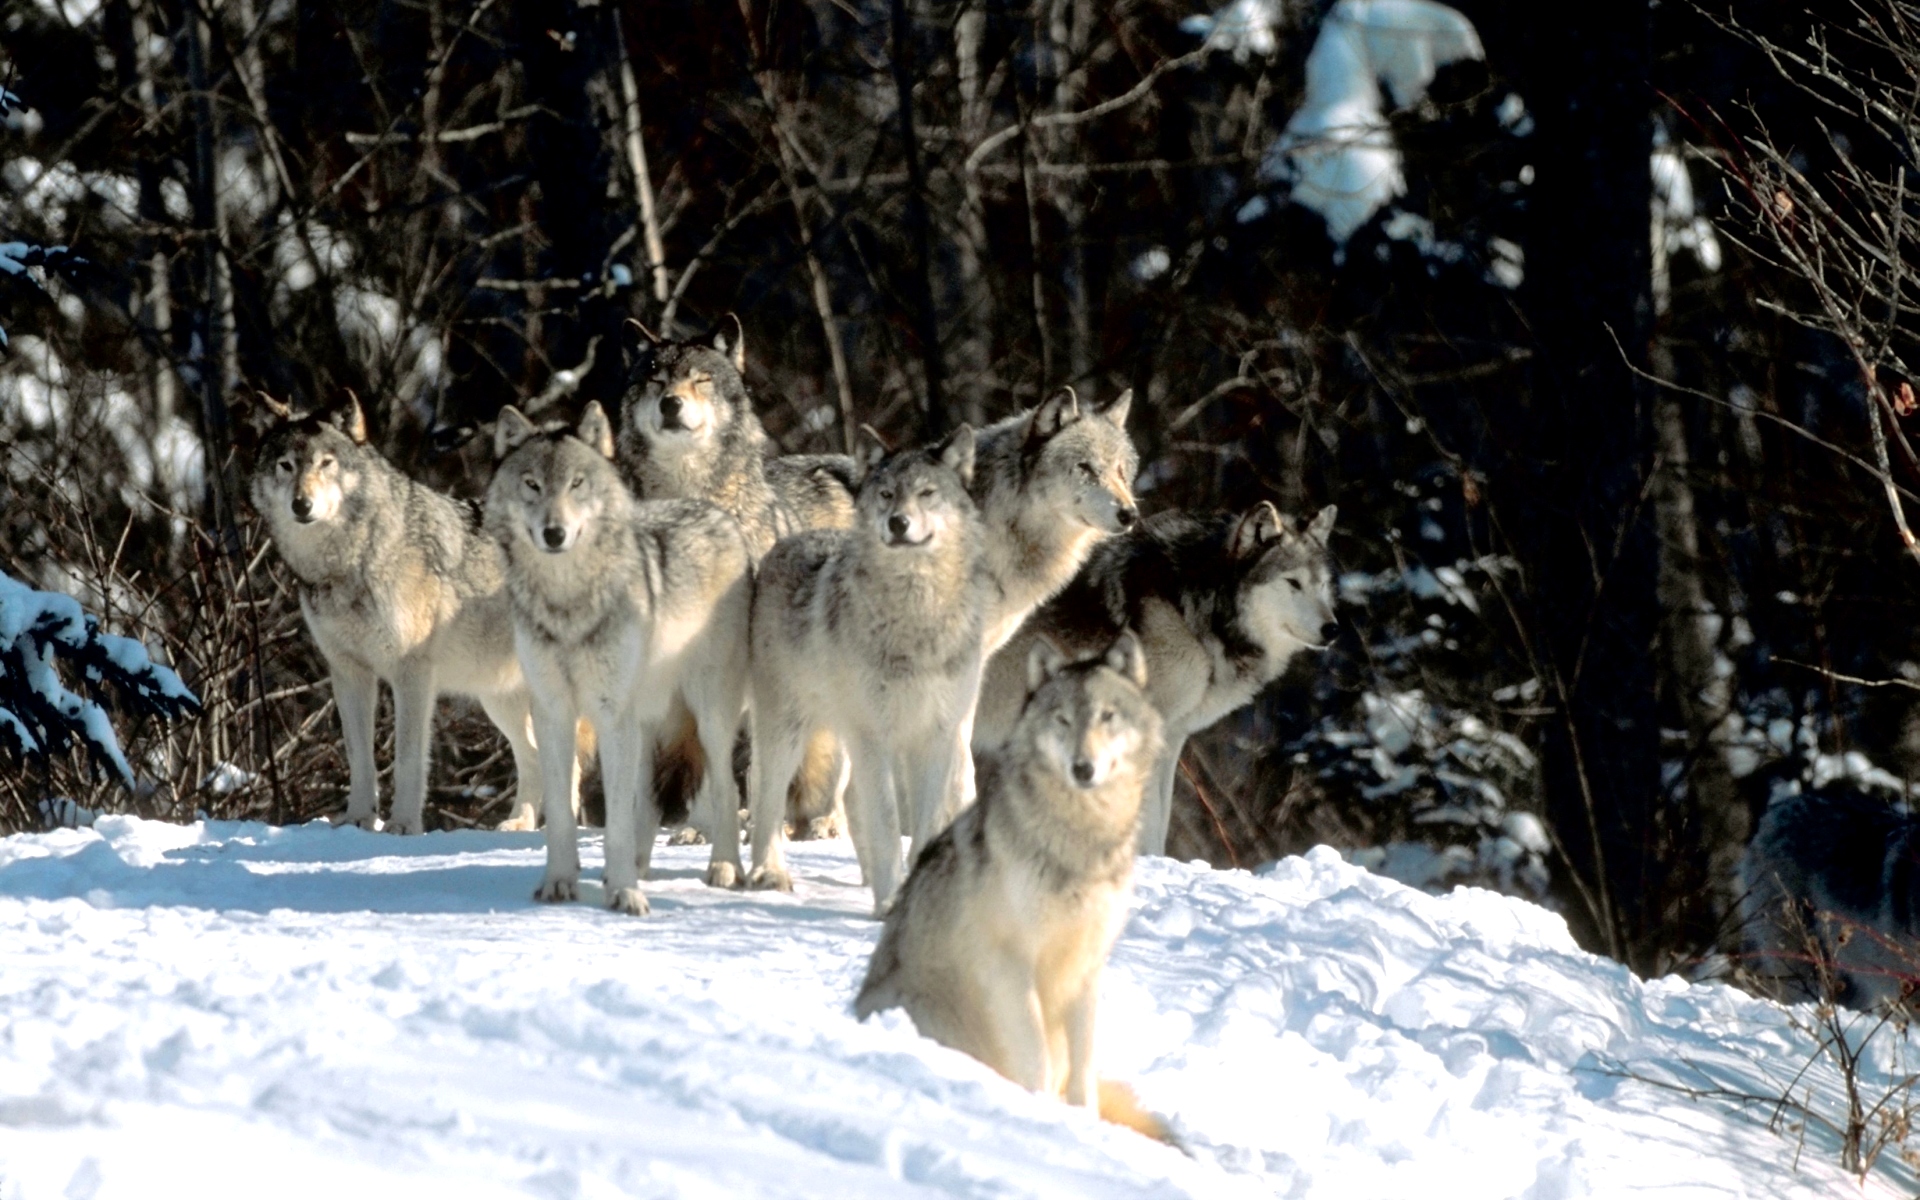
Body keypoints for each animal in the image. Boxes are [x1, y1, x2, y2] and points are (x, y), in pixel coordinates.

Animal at [243, 391, 552, 833]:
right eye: (286, 465)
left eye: (326, 463)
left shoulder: (412, 674)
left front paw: (403, 825)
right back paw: (522, 825)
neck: (348, 563)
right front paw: (357, 821)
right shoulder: (348, 672)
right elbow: (359, 757)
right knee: (539, 758)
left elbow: (407, 758)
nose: (301, 504)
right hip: (499, 699)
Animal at [483, 397, 752, 913]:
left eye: (576, 483)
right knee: (646, 799)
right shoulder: (553, 712)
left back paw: (725, 869)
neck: (568, 604)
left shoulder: (610, 712)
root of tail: (719, 516)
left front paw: (625, 894)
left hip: (706, 713)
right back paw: (640, 866)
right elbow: (563, 813)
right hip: (646, 720)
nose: (554, 533)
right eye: (532, 485)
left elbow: (616, 823)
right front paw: (559, 884)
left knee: (725, 788)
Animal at [856, 633, 1167, 1136]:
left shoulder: (1086, 967)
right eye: (1063, 720)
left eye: (1107, 716)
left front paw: (1083, 1122)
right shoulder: (1010, 963)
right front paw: (1038, 1112)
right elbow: (1034, 1055)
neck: (1078, 842)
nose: (1083, 768)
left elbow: (1083, 1069)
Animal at [975, 499, 1336, 856]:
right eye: (1293, 583)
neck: (1194, 605)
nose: (1332, 629)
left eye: (1321, 585)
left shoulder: (1173, 737)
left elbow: (1161, 822)